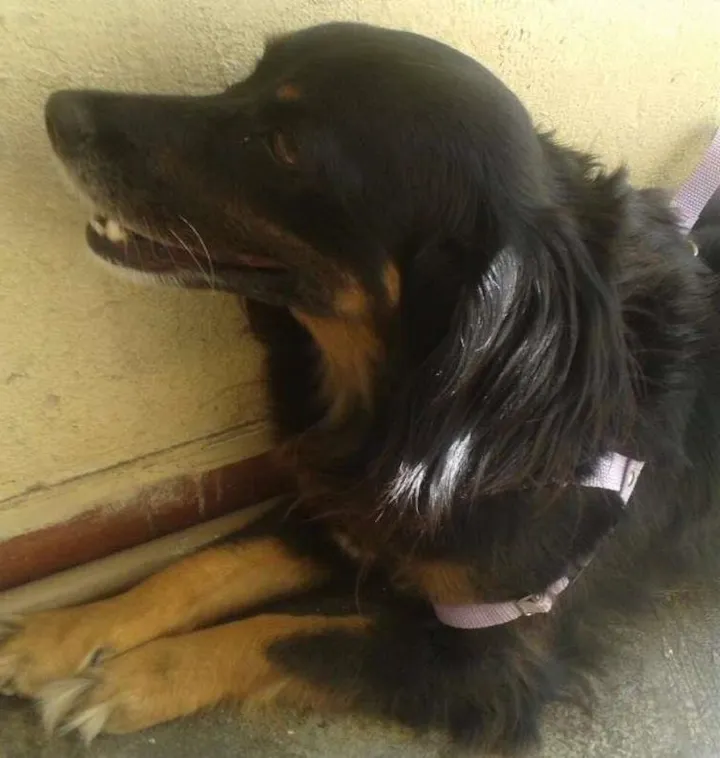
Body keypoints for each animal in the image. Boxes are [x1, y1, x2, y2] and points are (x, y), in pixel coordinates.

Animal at [3, 21, 720, 752]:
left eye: (285, 147)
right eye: (247, 79)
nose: (59, 111)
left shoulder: (495, 660)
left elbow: (289, 635)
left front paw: (128, 679)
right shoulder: (342, 502)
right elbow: (205, 563)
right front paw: (66, 633)